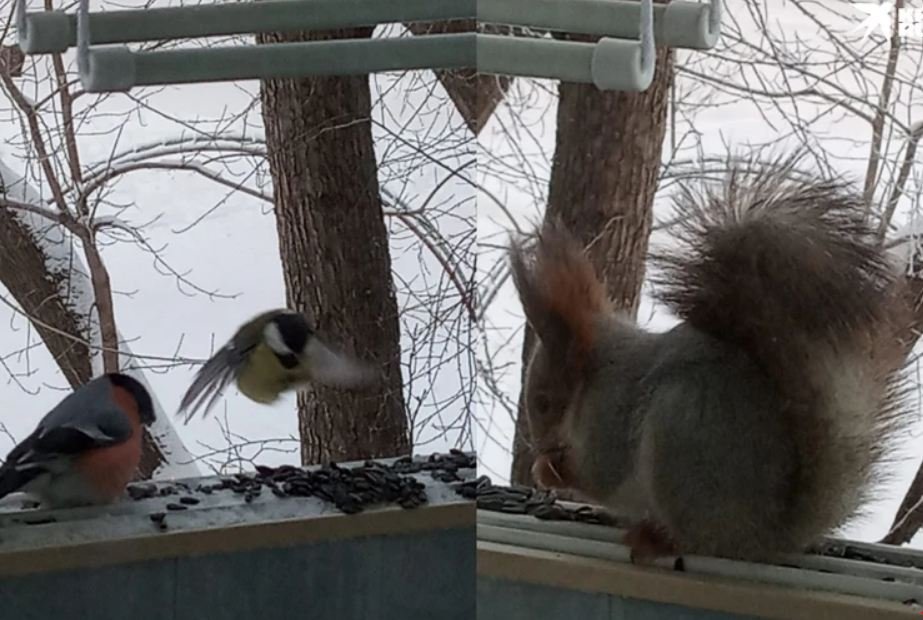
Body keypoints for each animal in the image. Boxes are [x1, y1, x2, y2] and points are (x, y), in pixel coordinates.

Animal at [512, 160, 908, 560]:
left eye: (543, 402)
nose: (539, 445)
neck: (593, 374)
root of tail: (770, 536)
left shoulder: (609, 408)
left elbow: (602, 471)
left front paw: (549, 470)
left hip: (680, 436)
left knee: (699, 540)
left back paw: (655, 541)